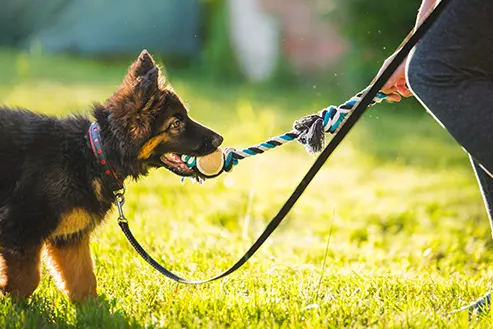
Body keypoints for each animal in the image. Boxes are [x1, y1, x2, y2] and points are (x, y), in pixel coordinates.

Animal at [0, 50, 221, 302]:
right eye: (176, 123)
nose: (220, 139)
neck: (94, 154)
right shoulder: (21, 228)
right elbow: (27, 281)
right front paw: (11, 301)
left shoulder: (70, 237)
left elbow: (84, 282)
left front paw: (91, 310)